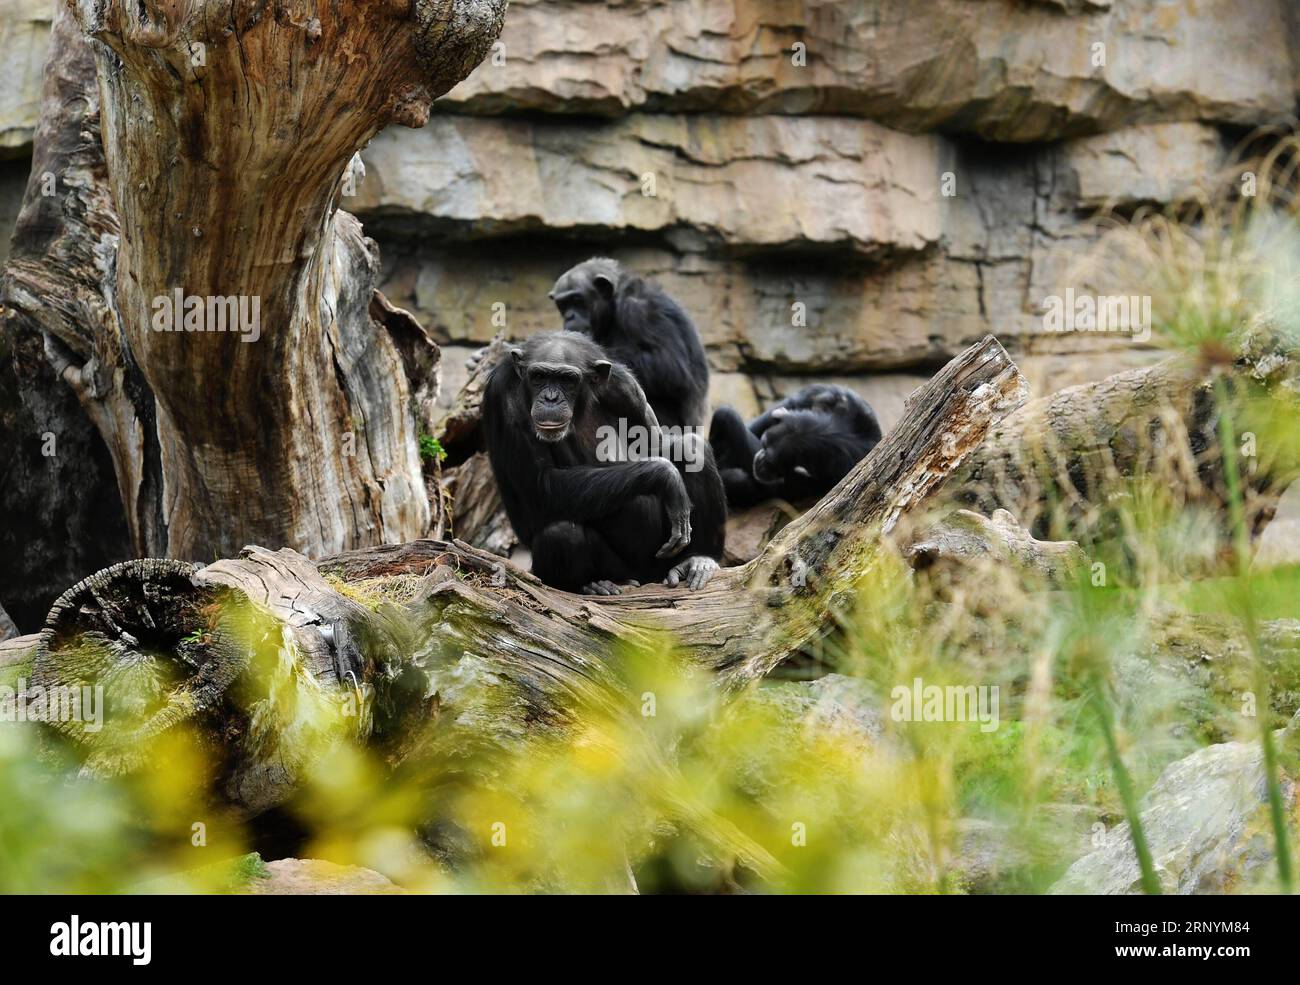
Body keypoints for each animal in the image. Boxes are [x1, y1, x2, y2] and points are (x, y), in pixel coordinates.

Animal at [483, 330, 728, 595]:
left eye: (567, 380)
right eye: (539, 376)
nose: (550, 398)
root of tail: (647, 577)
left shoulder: (626, 389)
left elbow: (657, 445)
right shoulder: (504, 397)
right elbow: (542, 484)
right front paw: (665, 475)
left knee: (693, 451)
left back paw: (698, 559)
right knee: (561, 534)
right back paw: (593, 585)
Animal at [548, 255, 712, 431]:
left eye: (577, 300)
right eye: (563, 304)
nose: (569, 316)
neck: (613, 306)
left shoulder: (640, 311)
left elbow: (672, 368)